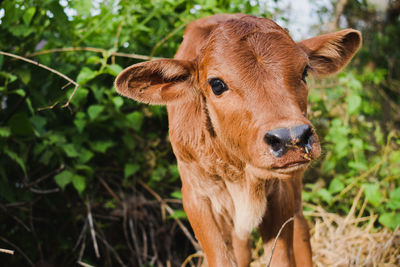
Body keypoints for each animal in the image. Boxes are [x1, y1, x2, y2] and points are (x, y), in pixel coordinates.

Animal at [114, 14, 360, 267]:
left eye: (304, 72)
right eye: (216, 84)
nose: (291, 137)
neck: (239, 171)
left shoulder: (281, 193)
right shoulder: (196, 196)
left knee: (301, 229)